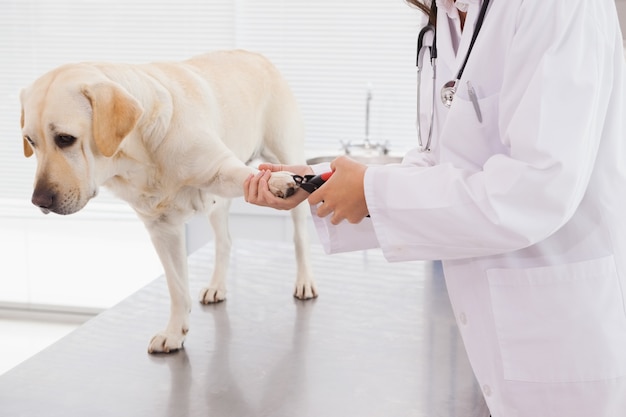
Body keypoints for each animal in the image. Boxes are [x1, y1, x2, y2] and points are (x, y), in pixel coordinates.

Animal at [21, 50, 314, 352]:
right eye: (30, 141)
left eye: (65, 138)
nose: (39, 200)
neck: (140, 152)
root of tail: (255, 55)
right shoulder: (161, 227)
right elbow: (176, 287)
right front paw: (174, 332)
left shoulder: (221, 169)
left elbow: (251, 176)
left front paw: (275, 182)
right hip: (217, 204)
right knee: (224, 241)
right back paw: (217, 285)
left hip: (285, 155)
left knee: (300, 237)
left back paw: (304, 281)